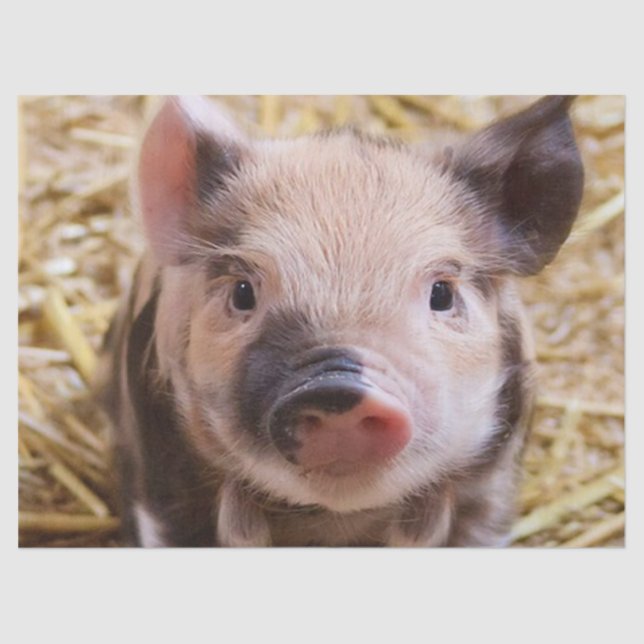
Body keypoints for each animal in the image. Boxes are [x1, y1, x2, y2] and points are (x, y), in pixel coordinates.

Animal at [98, 95, 584, 547]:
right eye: (243, 292)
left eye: (442, 293)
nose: (337, 386)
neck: (335, 521)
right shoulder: (163, 481)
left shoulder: (492, 486)